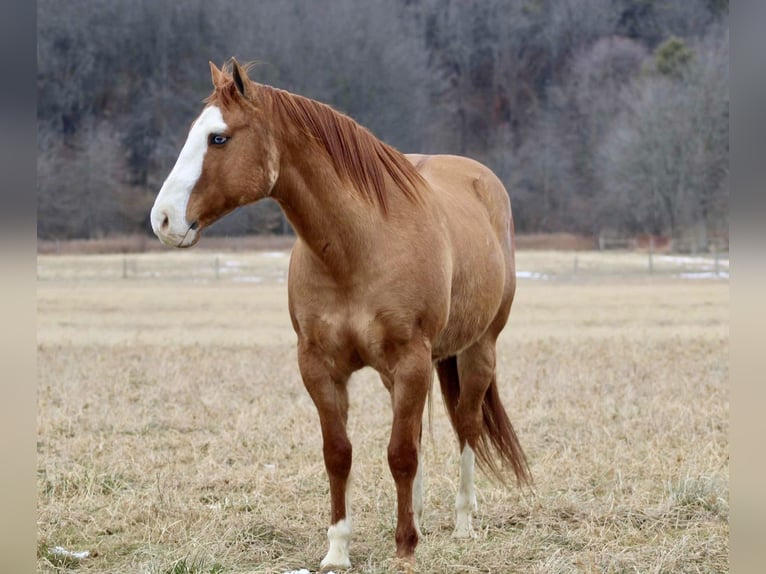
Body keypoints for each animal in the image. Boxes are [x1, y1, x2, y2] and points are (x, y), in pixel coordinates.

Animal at [151, 58, 536, 572]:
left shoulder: (411, 360)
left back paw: (462, 523)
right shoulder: (320, 366)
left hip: (479, 349)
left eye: (219, 138)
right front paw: (338, 548)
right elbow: (340, 453)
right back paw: (420, 514)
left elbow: (400, 453)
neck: (358, 246)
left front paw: (405, 547)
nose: (163, 219)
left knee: (467, 426)